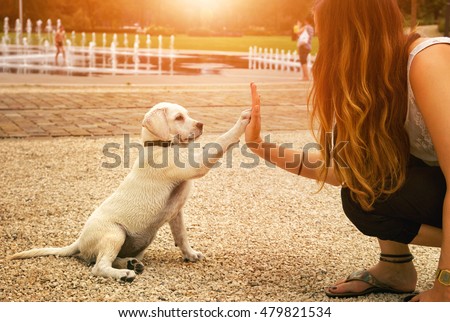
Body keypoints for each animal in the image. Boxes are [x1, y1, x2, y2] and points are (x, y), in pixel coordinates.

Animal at [9, 102, 250, 282]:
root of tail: (79, 240)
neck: (160, 145)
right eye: (179, 117)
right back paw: (124, 273)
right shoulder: (195, 165)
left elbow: (181, 236)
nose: (201, 124)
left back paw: (131, 264)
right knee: (98, 266)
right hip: (115, 233)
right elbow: (220, 141)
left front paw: (190, 254)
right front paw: (243, 120)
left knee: (108, 259)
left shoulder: (177, 212)